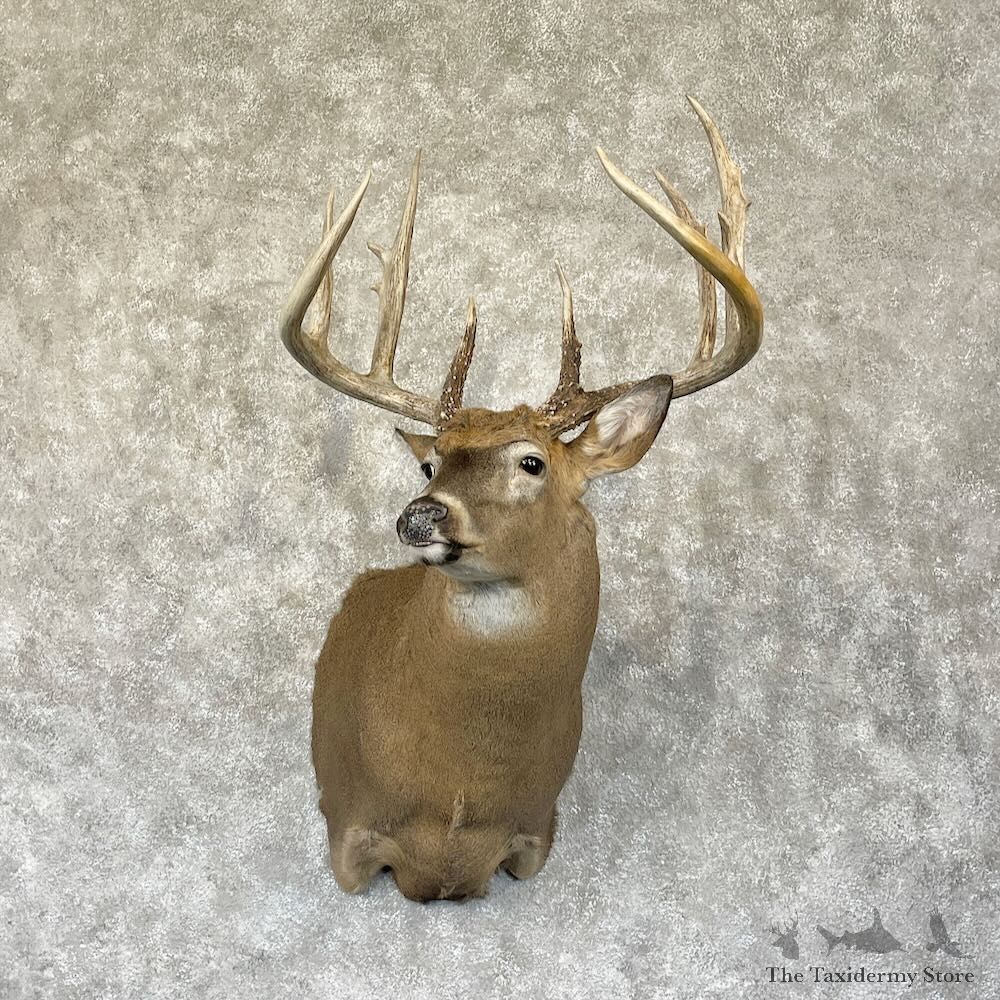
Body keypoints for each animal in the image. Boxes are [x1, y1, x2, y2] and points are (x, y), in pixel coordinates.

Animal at [279, 97, 762, 902]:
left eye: (531, 461)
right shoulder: (349, 824)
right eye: (430, 464)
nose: (421, 514)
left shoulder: (537, 831)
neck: (458, 794)